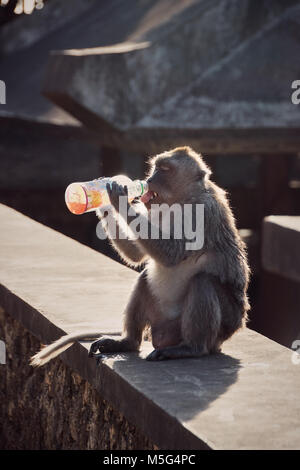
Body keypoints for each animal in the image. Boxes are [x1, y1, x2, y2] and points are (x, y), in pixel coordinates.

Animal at [31, 145, 251, 366]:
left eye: (165, 169)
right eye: (155, 167)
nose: (150, 179)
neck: (181, 200)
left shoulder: (203, 212)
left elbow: (171, 254)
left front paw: (119, 198)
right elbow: (136, 255)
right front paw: (104, 200)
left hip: (225, 325)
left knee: (202, 281)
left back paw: (191, 348)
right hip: (160, 318)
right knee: (145, 278)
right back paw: (127, 342)